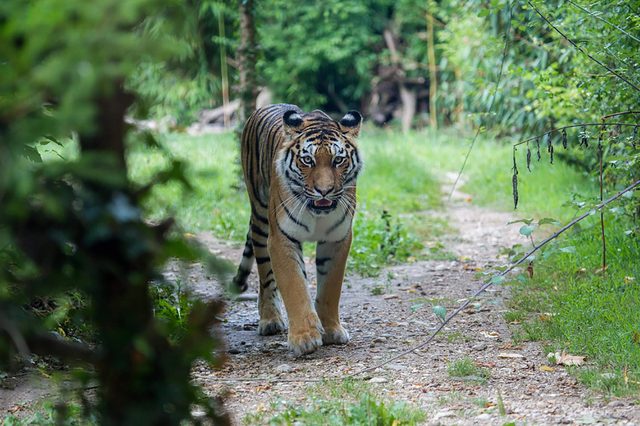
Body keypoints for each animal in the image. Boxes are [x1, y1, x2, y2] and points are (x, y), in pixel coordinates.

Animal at [232, 103, 363, 356]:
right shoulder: (281, 238)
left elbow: (331, 288)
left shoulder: (337, 238)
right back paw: (270, 320)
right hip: (261, 220)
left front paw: (332, 330)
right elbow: (294, 286)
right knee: (265, 276)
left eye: (338, 160)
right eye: (308, 160)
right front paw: (304, 338)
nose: (324, 191)